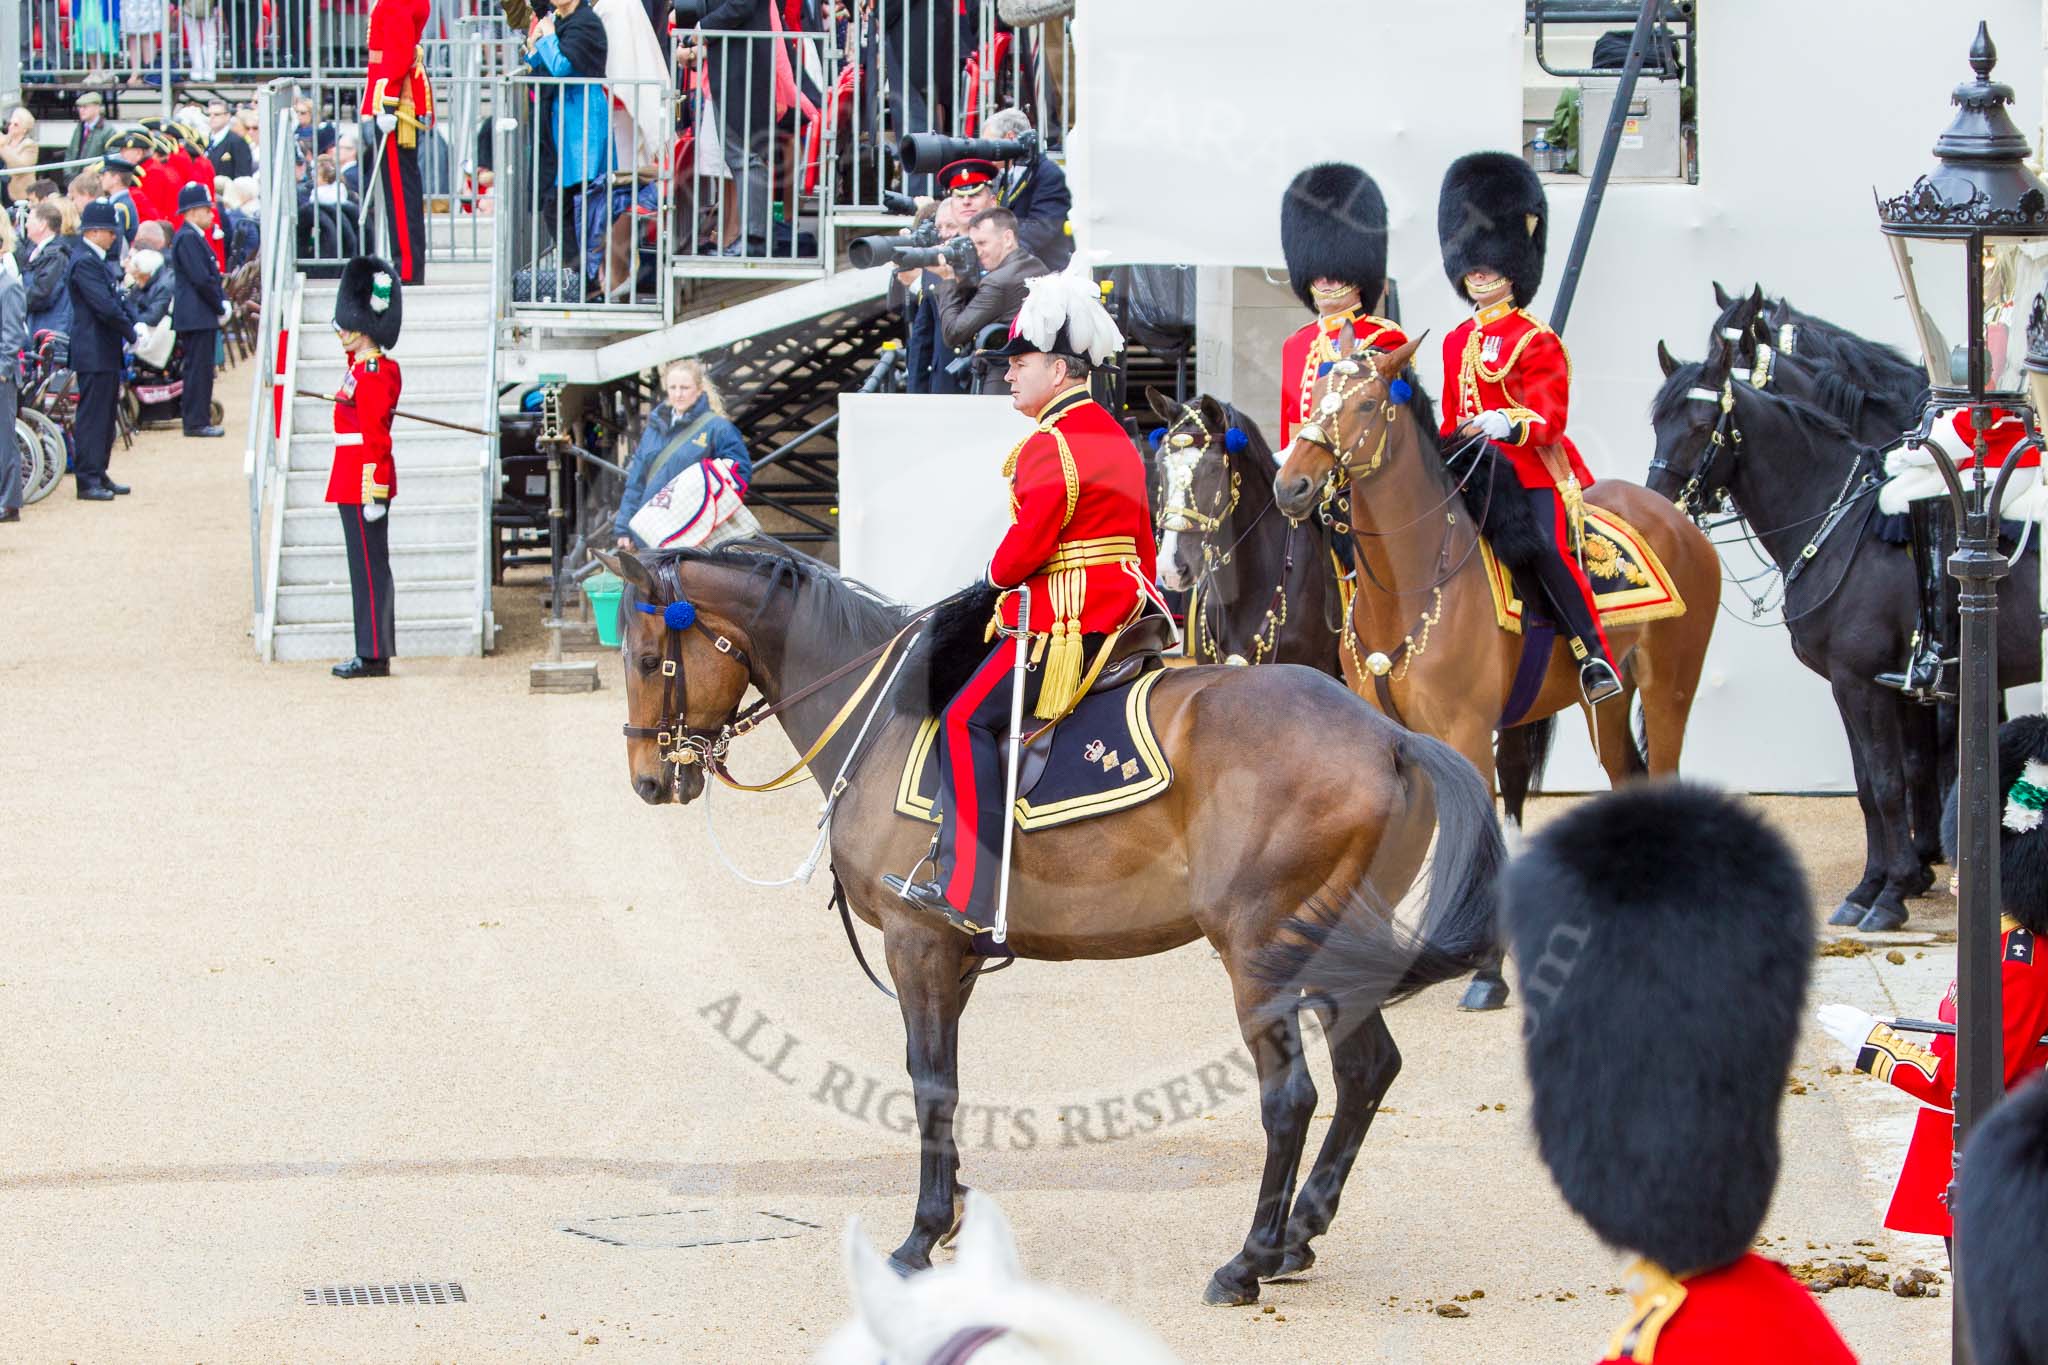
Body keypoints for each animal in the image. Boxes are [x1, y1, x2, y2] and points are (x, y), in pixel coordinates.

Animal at [600, 538, 1504, 1305]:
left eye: (645, 659)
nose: (648, 777)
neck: (885, 719)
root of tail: (1390, 737)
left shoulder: (916, 940)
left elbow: (929, 1080)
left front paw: (922, 1232)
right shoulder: (955, 953)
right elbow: (939, 1072)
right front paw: (955, 1202)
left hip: (1262, 955)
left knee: (1292, 1096)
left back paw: (1246, 1259)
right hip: (1330, 954)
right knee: (1366, 1070)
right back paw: (1298, 1234)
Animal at [1270, 335, 1720, 841]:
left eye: (1367, 404)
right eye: (1313, 397)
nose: (1291, 486)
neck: (1407, 589)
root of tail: (1676, 517)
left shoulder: (1468, 736)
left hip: (1669, 687)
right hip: (1610, 701)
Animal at [1646, 349, 2042, 929]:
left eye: (1700, 426)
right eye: (1658, 422)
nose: (1657, 505)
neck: (1840, 526)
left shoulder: (1864, 684)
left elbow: (1889, 781)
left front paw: (1893, 893)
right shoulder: (1855, 686)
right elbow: (1868, 786)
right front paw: (1872, 885)